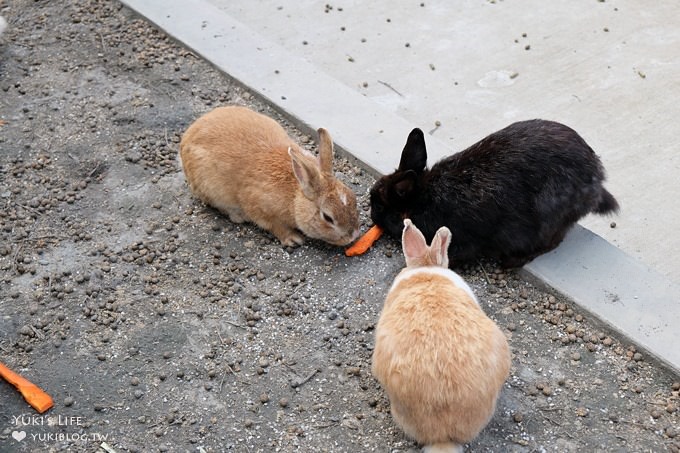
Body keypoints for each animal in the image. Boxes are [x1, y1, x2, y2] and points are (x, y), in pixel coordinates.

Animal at [370, 120, 620, 268]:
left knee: (553, 240)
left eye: (381, 207)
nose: (372, 215)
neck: (422, 200)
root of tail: (596, 181)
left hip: (548, 215)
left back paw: (511, 261)